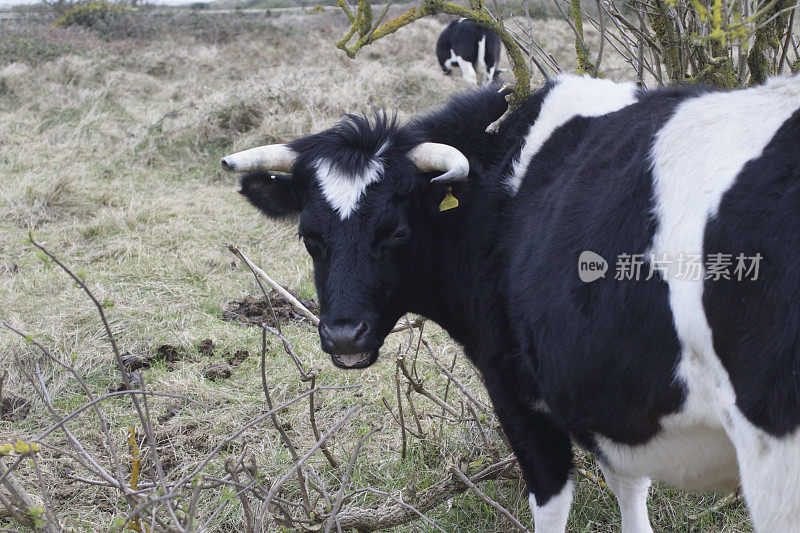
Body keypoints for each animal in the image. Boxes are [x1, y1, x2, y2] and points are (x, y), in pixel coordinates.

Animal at [222, 76, 800, 532]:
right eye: (310, 237)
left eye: (397, 232)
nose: (344, 335)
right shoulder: (606, 394)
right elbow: (631, 488)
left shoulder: (517, 389)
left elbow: (552, 498)